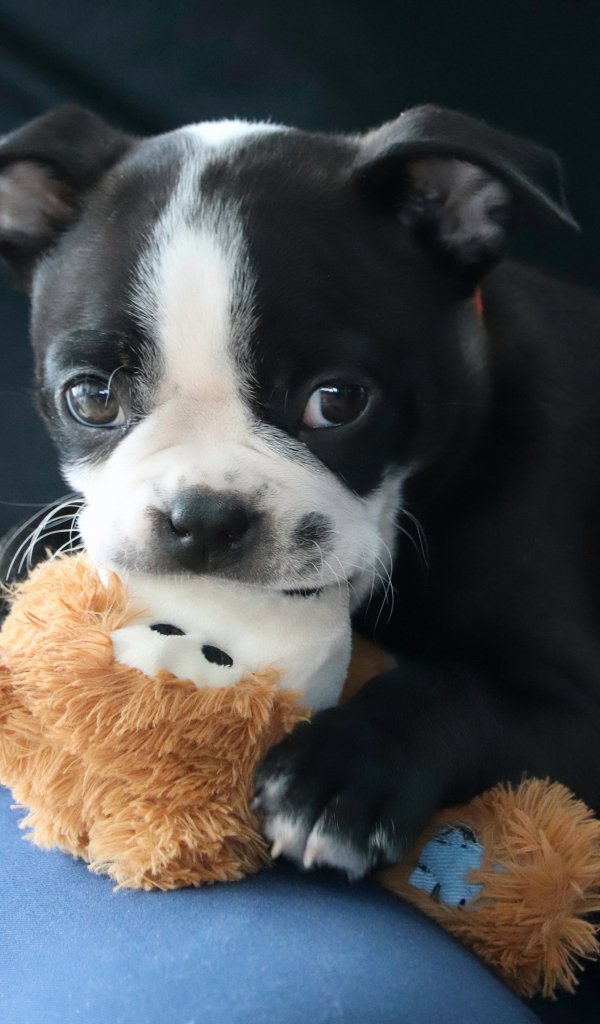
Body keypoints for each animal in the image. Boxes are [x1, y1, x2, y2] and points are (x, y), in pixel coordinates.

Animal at [1, 103, 599, 881]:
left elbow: (451, 688)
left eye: (338, 402)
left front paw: (339, 779)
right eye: (92, 398)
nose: (203, 517)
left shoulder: (578, 703)